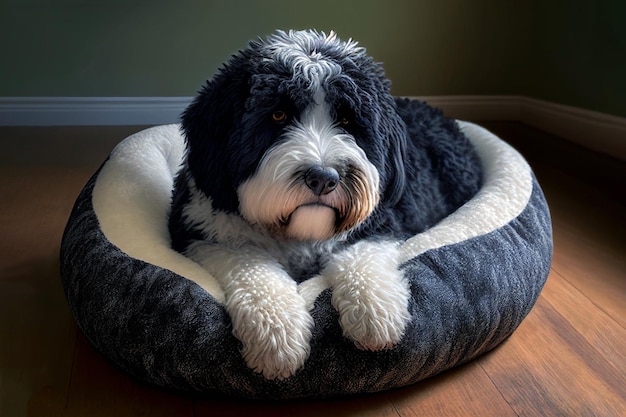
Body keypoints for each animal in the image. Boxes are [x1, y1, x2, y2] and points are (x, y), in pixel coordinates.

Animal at [168, 29, 480, 380]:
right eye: (278, 114)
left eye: (347, 120)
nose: (323, 178)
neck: (299, 235)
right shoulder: (203, 231)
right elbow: (252, 268)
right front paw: (276, 335)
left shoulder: (378, 222)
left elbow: (361, 258)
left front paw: (374, 314)